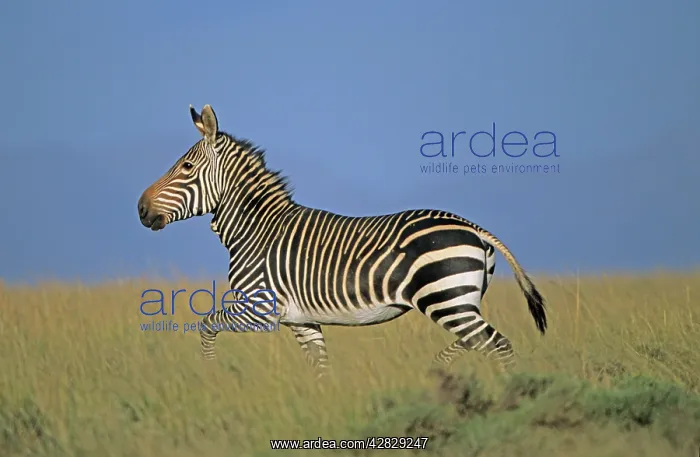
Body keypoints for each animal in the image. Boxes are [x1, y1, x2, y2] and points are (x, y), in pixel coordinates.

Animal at [137, 104, 547, 379]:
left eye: (186, 167)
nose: (141, 209)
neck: (257, 230)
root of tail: (473, 226)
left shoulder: (260, 309)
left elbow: (207, 324)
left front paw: (209, 374)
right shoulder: (301, 320)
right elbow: (321, 370)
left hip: (446, 300)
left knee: (499, 346)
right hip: (461, 301)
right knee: (476, 342)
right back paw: (434, 370)